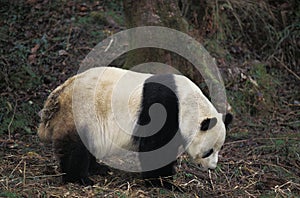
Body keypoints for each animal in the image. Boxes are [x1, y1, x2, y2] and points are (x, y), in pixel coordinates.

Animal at [37, 66, 232, 189]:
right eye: (209, 151)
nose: (212, 167)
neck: (187, 105)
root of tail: (59, 94)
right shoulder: (162, 110)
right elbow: (155, 148)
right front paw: (163, 183)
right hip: (81, 113)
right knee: (76, 148)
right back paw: (79, 178)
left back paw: (98, 169)